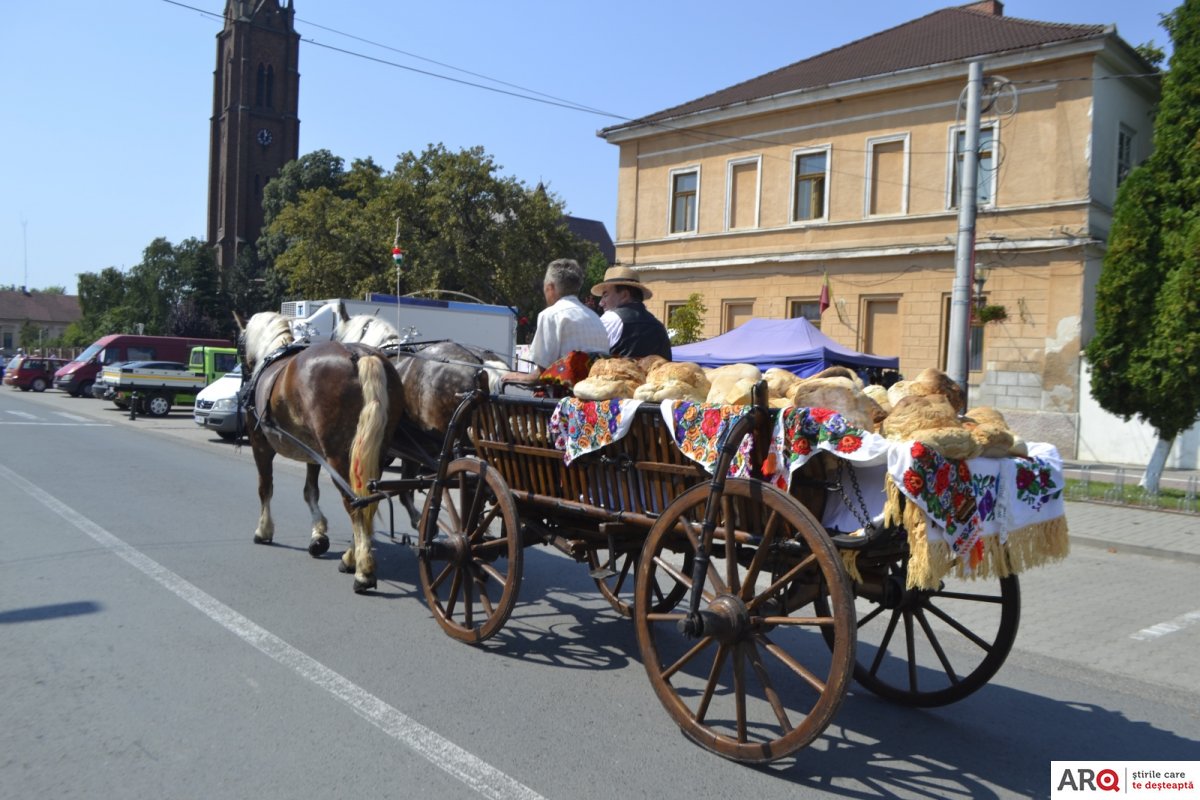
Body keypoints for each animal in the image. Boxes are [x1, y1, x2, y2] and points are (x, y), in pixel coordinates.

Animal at [241, 311, 405, 594]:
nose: (242, 378)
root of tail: (360, 356)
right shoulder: (313, 455)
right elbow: (310, 492)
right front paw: (318, 535)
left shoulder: (260, 444)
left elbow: (265, 488)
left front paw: (264, 530)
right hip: (372, 454)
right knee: (367, 499)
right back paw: (353, 557)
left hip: (339, 457)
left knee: (354, 502)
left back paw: (362, 570)